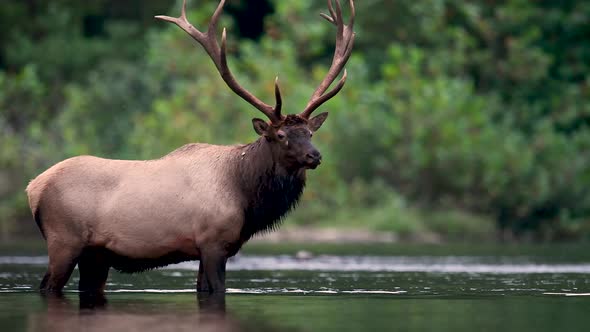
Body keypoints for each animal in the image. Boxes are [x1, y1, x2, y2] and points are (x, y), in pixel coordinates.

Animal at [25, 0, 356, 296]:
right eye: (281, 135)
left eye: (310, 132)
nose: (314, 156)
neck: (246, 194)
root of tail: (33, 187)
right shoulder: (213, 241)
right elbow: (216, 290)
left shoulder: (208, 248)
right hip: (64, 239)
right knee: (47, 285)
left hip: (95, 255)